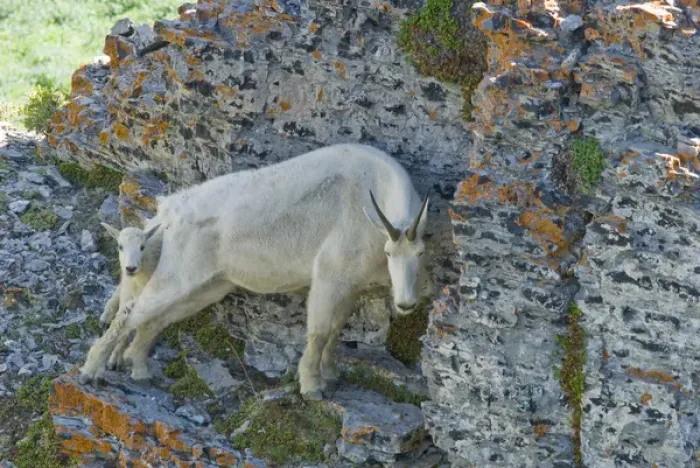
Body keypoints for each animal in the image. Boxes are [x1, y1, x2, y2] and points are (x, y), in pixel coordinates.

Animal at [79, 143, 431, 400]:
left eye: (421, 253)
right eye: (388, 252)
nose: (405, 304)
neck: (370, 195)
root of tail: (169, 212)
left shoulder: (350, 286)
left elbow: (335, 332)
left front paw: (330, 375)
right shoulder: (328, 277)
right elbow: (318, 333)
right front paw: (311, 387)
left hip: (208, 286)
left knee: (155, 319)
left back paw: (138, 369)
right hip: (178, 274)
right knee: (131, 311)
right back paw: (91, 371)